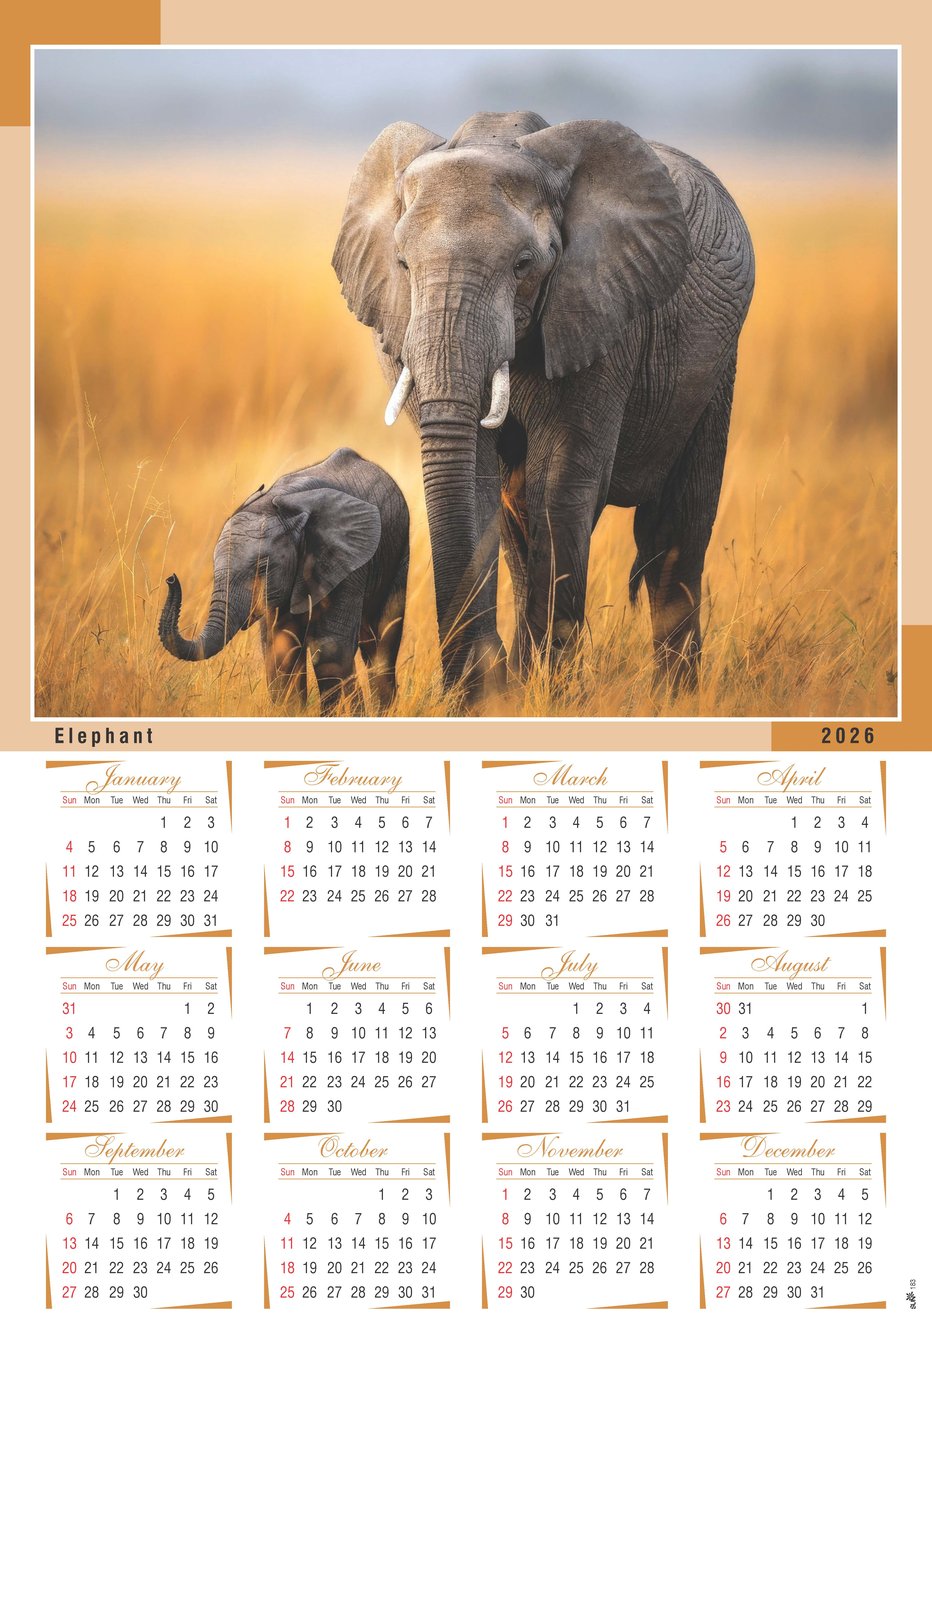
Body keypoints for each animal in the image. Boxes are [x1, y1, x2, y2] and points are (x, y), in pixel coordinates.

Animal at [158, 448, 409, 712]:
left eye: (263, 567)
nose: (171, 579)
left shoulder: (346, 562)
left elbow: (331, 650)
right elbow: (281, 652)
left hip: (399, 553)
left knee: (382, 642)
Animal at [332, 111, 754, 698]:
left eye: (523, 265)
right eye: (402, 264)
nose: (469, 677)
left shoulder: (601, 315)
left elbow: (559, 483)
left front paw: (542, 692)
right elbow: (479, 482)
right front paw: (488, 693)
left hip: (718, 363)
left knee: (676, 529)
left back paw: (677, 699)